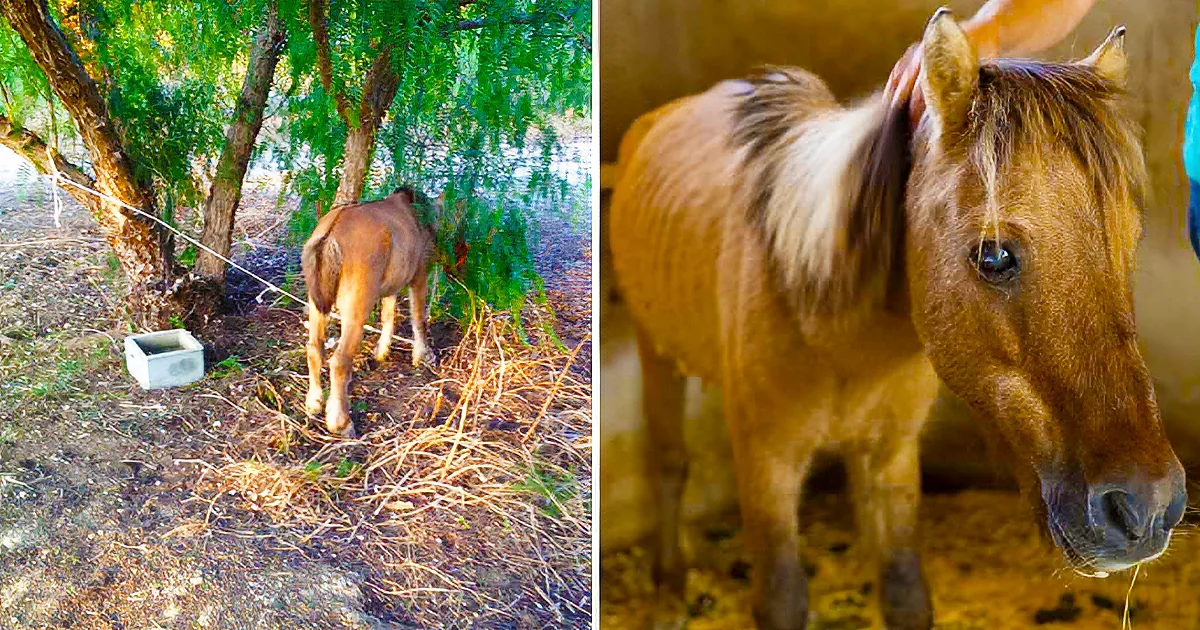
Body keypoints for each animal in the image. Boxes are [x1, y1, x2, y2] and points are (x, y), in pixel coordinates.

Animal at [302, 186, 436, 437]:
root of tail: (331, 233)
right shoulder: (419, 273)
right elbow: (418, 317)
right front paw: (422, 355)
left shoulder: (391, 285)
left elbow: (388, 315)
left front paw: (382, 352)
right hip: (356, 307)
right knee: (340, 361)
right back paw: (341, 423)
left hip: (317, 305)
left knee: (314, 348)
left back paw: (314, 403)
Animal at [607, 9, 1187, 630]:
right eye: (993, 256)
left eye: (1131, 242)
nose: (1148, 507)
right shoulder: (767, 465)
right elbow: (782, 596)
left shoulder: (890, 458)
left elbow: (905, 589)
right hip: (654, 353)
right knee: (670, 462)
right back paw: (669, 582)